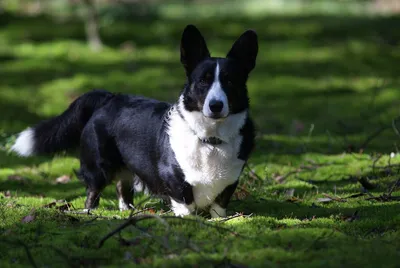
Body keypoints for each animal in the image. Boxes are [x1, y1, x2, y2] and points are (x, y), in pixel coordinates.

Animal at [11, 25, 260, 218]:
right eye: (203, 81)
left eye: (230, 81)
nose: (216, 105)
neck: (210, 138)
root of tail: (110, 97)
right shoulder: (175, 179)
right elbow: (184, 202)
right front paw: (188, 220)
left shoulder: (230, 181)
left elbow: (219, 206)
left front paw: (218, 221)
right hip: (98, 166)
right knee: (93, 191)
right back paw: (90, 212)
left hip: (125, 168)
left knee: (123, 187)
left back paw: (128, 211)